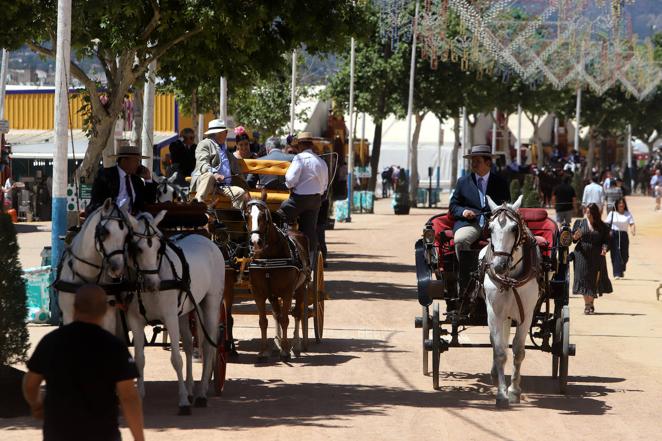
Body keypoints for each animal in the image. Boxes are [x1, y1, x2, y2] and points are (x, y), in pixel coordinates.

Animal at [57, 198, 130, 332]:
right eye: (104, 232)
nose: (117, 268)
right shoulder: (69, 314)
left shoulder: (109, 316)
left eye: (127, 235)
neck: (88, 274)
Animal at [124, 211, 226, 414]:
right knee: (188, 345)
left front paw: (183, 402)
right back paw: (191, 389)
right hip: (186, 310)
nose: (152, 284)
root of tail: (207, 241)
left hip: (211, 304)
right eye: (137, 248)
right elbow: (139, 359)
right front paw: (140, 396)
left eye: (159, 248)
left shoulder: (170, 317)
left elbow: (176, 359)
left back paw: (201, 393)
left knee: (209, 346)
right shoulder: (135, 320)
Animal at [249, 191, 312, 360]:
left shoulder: (287, 292)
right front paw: (264, 350)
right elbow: (263, 321)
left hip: (301, 288)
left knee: (297, 314)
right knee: (277, 314)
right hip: (273, 295)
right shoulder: (259, 293)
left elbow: (285, 319)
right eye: (246, 215)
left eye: (263, 216)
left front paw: (285, 349)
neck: (269, 257)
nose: (255, 242)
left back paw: (295, 344)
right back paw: (278, 341)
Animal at [482, 194, 544, 408]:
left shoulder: (527, 315)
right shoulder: (494, 314)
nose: (499, 265)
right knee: (496, 342)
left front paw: (514, 390)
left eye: (514, 228)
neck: (510, 278)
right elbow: (500, 351)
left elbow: (518, 350)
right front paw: (501, 394)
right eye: (490, 228)